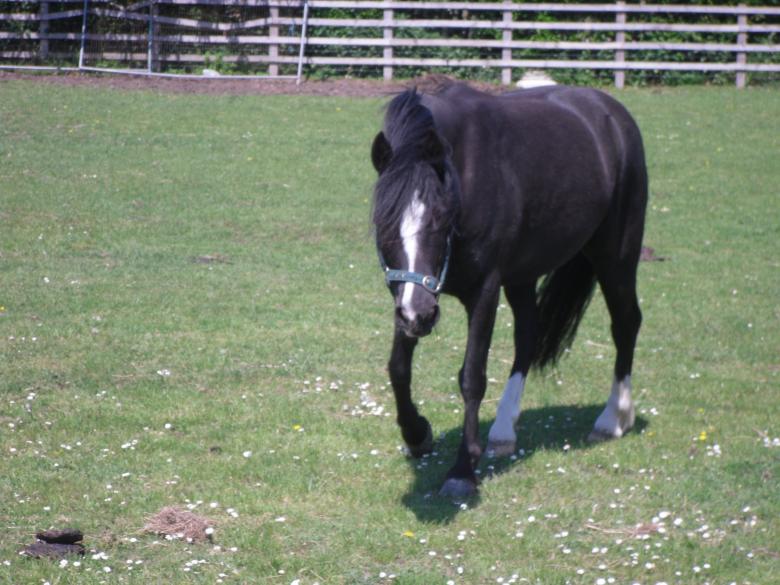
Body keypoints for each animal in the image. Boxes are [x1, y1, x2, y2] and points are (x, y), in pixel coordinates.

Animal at [370, 79, 648, 499]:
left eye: (440, 217)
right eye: (383, 222)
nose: (420, 315)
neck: (464, 176)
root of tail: (613, 114)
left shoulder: (484, 291)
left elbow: (472, 377)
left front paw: (462, 471)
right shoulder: (408, 294)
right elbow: (399, 368)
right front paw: (417, 435)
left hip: (615, 256)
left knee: (626, 323)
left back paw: (614, 419)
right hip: (521, 275)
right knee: (527, 337)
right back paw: (503, 431)